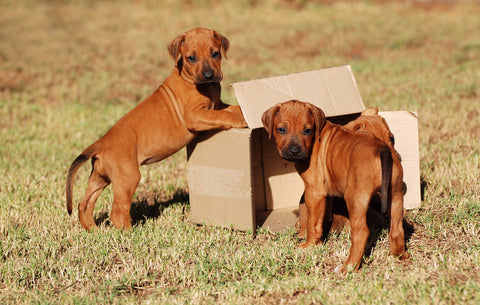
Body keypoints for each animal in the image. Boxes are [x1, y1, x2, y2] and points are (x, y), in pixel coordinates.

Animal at [66, 28, 248, 230]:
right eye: (191, 57)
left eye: (215, 53)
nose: (209, 75)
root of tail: (100, 143)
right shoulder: (194, 115)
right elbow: (223, 115)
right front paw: (240, 119)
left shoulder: (217, 105)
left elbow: (232, 108)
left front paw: (246, 110)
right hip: (128, 177)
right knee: (118, 213)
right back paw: (130, 233)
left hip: (100, 176)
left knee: (85, 204)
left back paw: (94, 231)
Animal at [260, 100, 410, 274]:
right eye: (281, 129)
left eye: (307, 130)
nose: (294, 151)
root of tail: (382, 151)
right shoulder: (326, 193)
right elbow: (321, 217)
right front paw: (319, 239)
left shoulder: (314, 191)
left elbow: (313, 222)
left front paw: (309, 245)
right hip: (396, 194)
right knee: (397, 229)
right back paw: (400, 255)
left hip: (355, 199)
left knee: (361, 232)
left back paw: (348, 267)